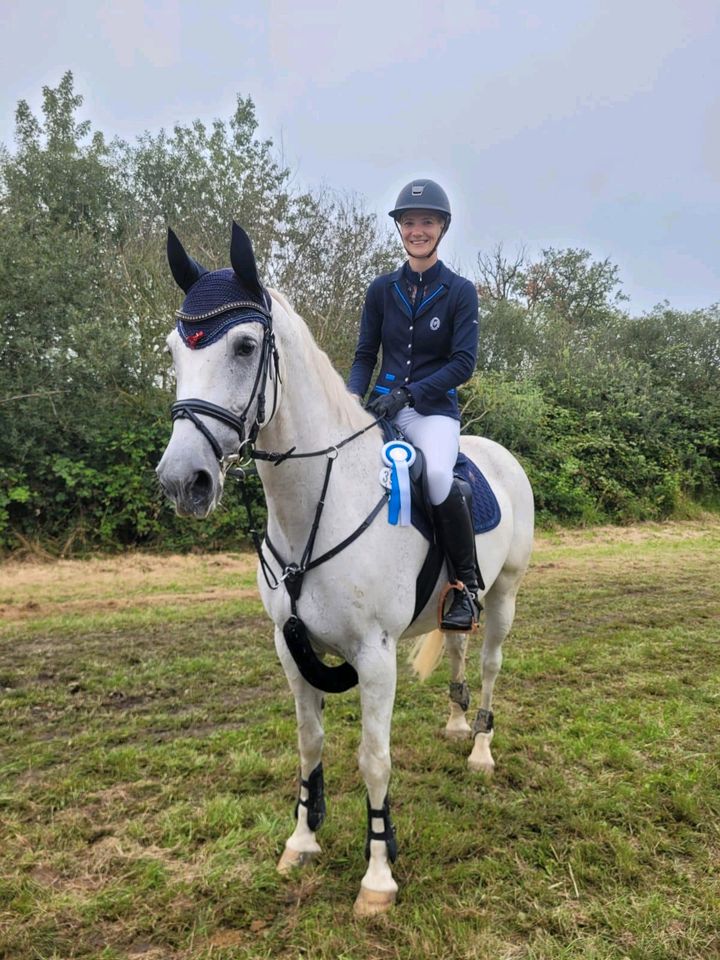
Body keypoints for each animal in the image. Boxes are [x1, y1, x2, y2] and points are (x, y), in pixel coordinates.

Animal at [158, 223, 536, 916]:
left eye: (246, 345)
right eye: (175, 349)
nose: (182, 481)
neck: (316, 505)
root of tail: (493, 451)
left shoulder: (375, 656)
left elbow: (374, 759)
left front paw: (378, 877)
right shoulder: (290, 648)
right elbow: (310, 744)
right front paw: (302, 842)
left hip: (504, 595)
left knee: (491, 664)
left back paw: (480, 749)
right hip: (457, 601)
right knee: (458, 648)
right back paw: (455, 722)